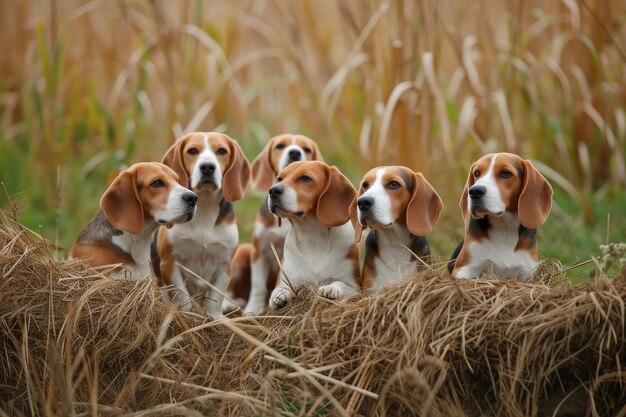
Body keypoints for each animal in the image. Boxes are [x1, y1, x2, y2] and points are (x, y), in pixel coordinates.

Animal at [150, 131, 250, 316]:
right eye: (192, 151)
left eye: (222, 151)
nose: (207, 167)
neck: (204, 205)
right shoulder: (170, 262)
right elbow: (182, 295)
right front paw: (188, 314)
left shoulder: (225, 264)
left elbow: (216, 299)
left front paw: (215, 317)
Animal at [235, 133, 322, 312]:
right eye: (280, 146)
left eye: (306, 149)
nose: (295, 153)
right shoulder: (259, 251)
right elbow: (258, 285)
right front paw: (253, 309)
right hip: (244, 252)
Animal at [266, 159, 358, 308]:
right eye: (280, 179)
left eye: (305, 178)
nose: (273, 190)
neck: (311, 235)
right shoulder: (288, 280)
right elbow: (278, 291)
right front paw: (280, 295)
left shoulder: (356, 287)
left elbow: (341, 284)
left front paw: (331, 288)